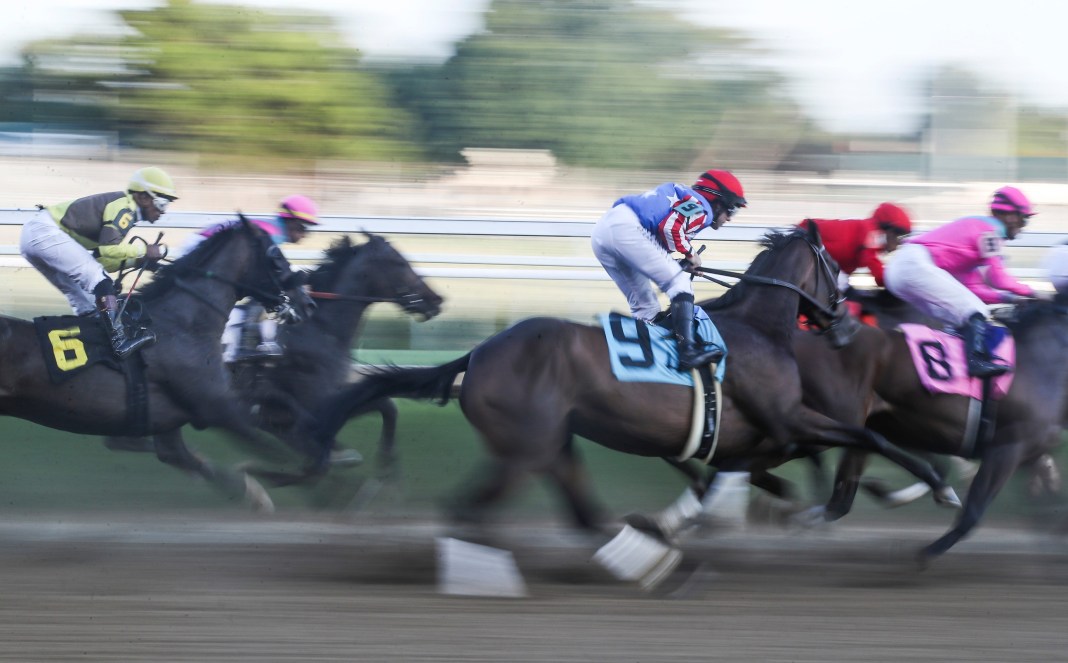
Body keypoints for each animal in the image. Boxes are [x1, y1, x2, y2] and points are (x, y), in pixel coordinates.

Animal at [0, 218, 316, 511]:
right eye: (276, 257)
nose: (307, 303)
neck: (183, 323)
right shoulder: (218, 408)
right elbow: (281, 453)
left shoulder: (169, 420)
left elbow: (189, 457)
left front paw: (254, 491)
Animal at [312, 225, 954, 533]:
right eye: (836, 269)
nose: (845, 324)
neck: (755, 326)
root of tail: (477, 354)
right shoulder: (786, 418)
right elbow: (867, 435)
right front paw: (932, 486)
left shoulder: (760, 436)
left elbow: (764, 468)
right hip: (527, 446)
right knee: (478, 508)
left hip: (554, 443)